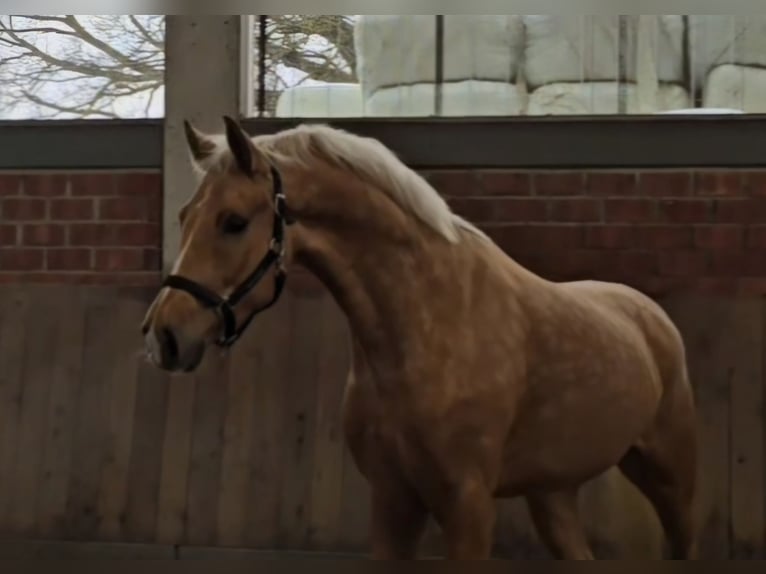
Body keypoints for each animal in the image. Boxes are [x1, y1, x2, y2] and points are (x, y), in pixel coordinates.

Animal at [142, 117, 704, 564]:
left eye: (234, 222)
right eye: (184, 216)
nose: (163, 337)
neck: (424, 324)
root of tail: (651, 315)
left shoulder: (467, 506)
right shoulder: (393, 500)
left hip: (670, 481)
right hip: (553, 493)